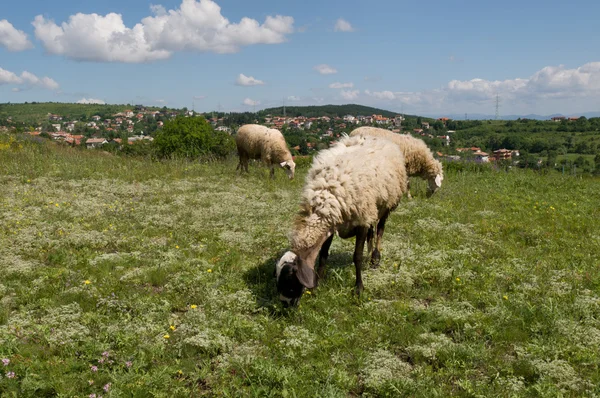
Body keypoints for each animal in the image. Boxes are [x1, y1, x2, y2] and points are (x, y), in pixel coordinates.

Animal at [276, 135, 408, 306]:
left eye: (289, 281)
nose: (285, 305)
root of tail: (380, 139)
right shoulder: (330, 224)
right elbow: (323, 255)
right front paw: (317, 285)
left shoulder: (361, 221)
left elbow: (357, 256)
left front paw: (359, 288)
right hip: (372, 208)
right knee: (372, 232)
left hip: (387, 205)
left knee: (380, 229)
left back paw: (375, 257)